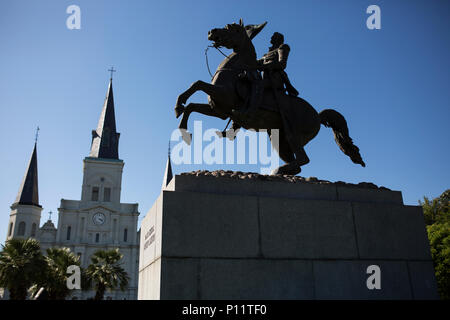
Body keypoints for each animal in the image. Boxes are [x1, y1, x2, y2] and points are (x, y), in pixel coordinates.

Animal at [174, 19, 364, 175]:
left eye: (232, 28)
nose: (211, 31)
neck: (233, 71)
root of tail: (317, 115)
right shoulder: (219, 110)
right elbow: (191, 104)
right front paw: (182, 126)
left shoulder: (222, 95)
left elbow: (197, 83)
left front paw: (178, 107)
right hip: (278, 140)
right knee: (298, 163)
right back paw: (282, 170)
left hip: (293, 135)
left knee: (303, 158)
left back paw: (279, 170)